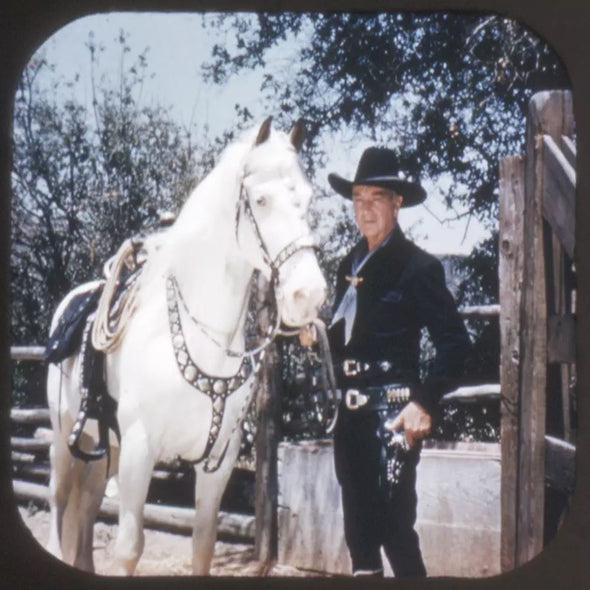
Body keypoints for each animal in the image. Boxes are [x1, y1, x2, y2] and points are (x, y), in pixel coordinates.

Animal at [45, 118, 328, 576]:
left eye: (307, 199)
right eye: (261, 200)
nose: (309, 294)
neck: (199, 340)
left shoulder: (219, 461)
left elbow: (203, 546)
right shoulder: (140, 449)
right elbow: (129, 547)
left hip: (105, 446)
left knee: (87, 504)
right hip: (63, 433)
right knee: (58, 497)